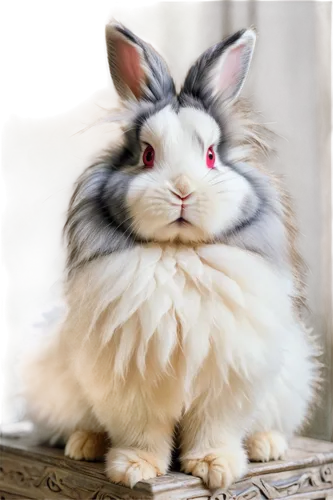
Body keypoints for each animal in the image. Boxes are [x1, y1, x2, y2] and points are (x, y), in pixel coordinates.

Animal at [17, 17, 320, 490]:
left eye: (212, 155)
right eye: (146, 154)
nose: (182, 190)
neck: (177, 253)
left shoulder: (225, 382)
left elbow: (215, 428)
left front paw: (216, 468)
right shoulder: (132, 381)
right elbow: (141, 431)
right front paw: (134, 469)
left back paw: (266, 446)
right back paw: (86, 445)